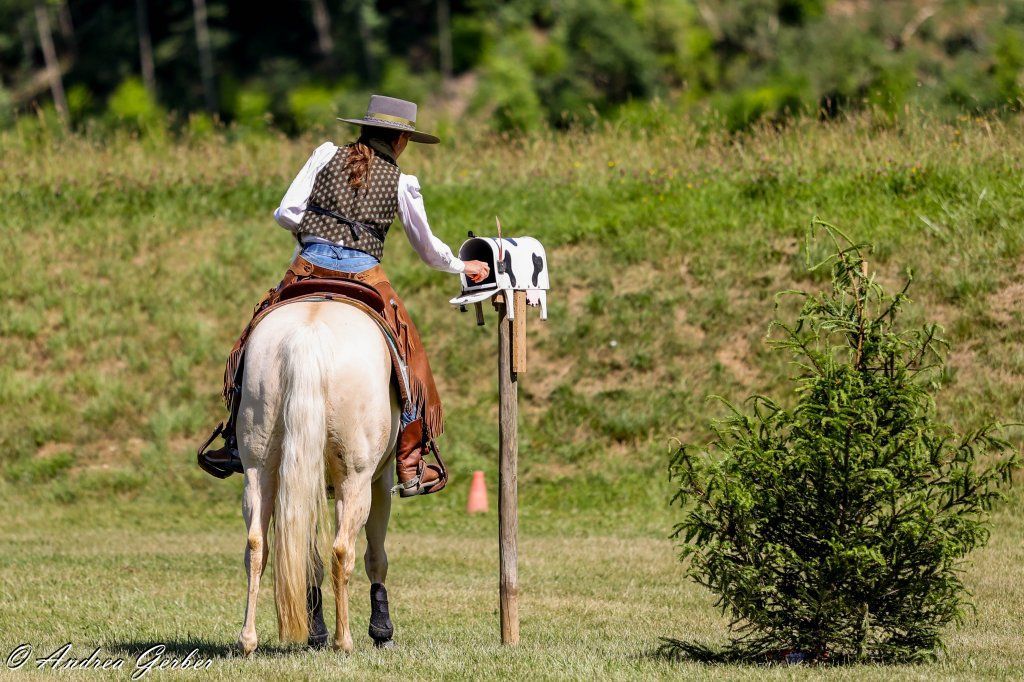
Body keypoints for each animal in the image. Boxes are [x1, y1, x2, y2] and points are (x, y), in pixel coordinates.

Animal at [233, 301, 400, 654]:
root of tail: (306, 336)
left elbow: (308, 562)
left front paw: (315, 633)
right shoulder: (379, 481)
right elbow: (376, 557)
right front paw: (381, 631)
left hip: (260, 470)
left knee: (256, 545)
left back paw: (248, 640)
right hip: (355, 479)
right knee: (342, 551)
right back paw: (343, 640)